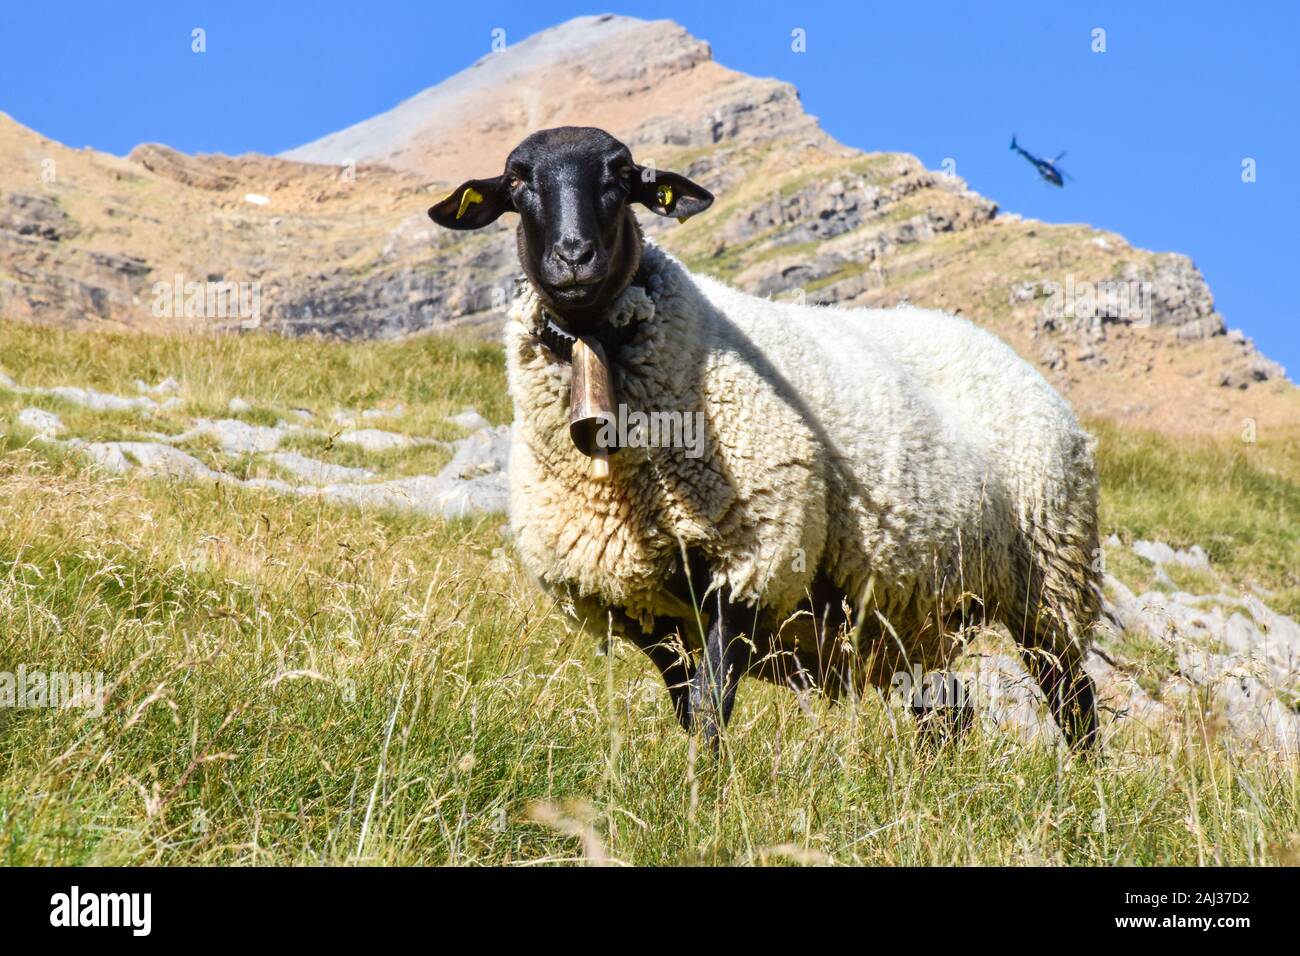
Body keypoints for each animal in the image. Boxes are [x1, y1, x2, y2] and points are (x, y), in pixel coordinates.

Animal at [431, 127, 1102, 749]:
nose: (574, 256)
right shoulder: (640, 606)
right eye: (516, 181)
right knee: (949, 710)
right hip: (918, 609)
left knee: (1074, 697)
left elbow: (710, 705)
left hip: (1052, 574)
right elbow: (687, 705)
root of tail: (999, 348)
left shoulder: (752, 561)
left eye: (621, 176)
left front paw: (705, 788)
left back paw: (1079, 783)